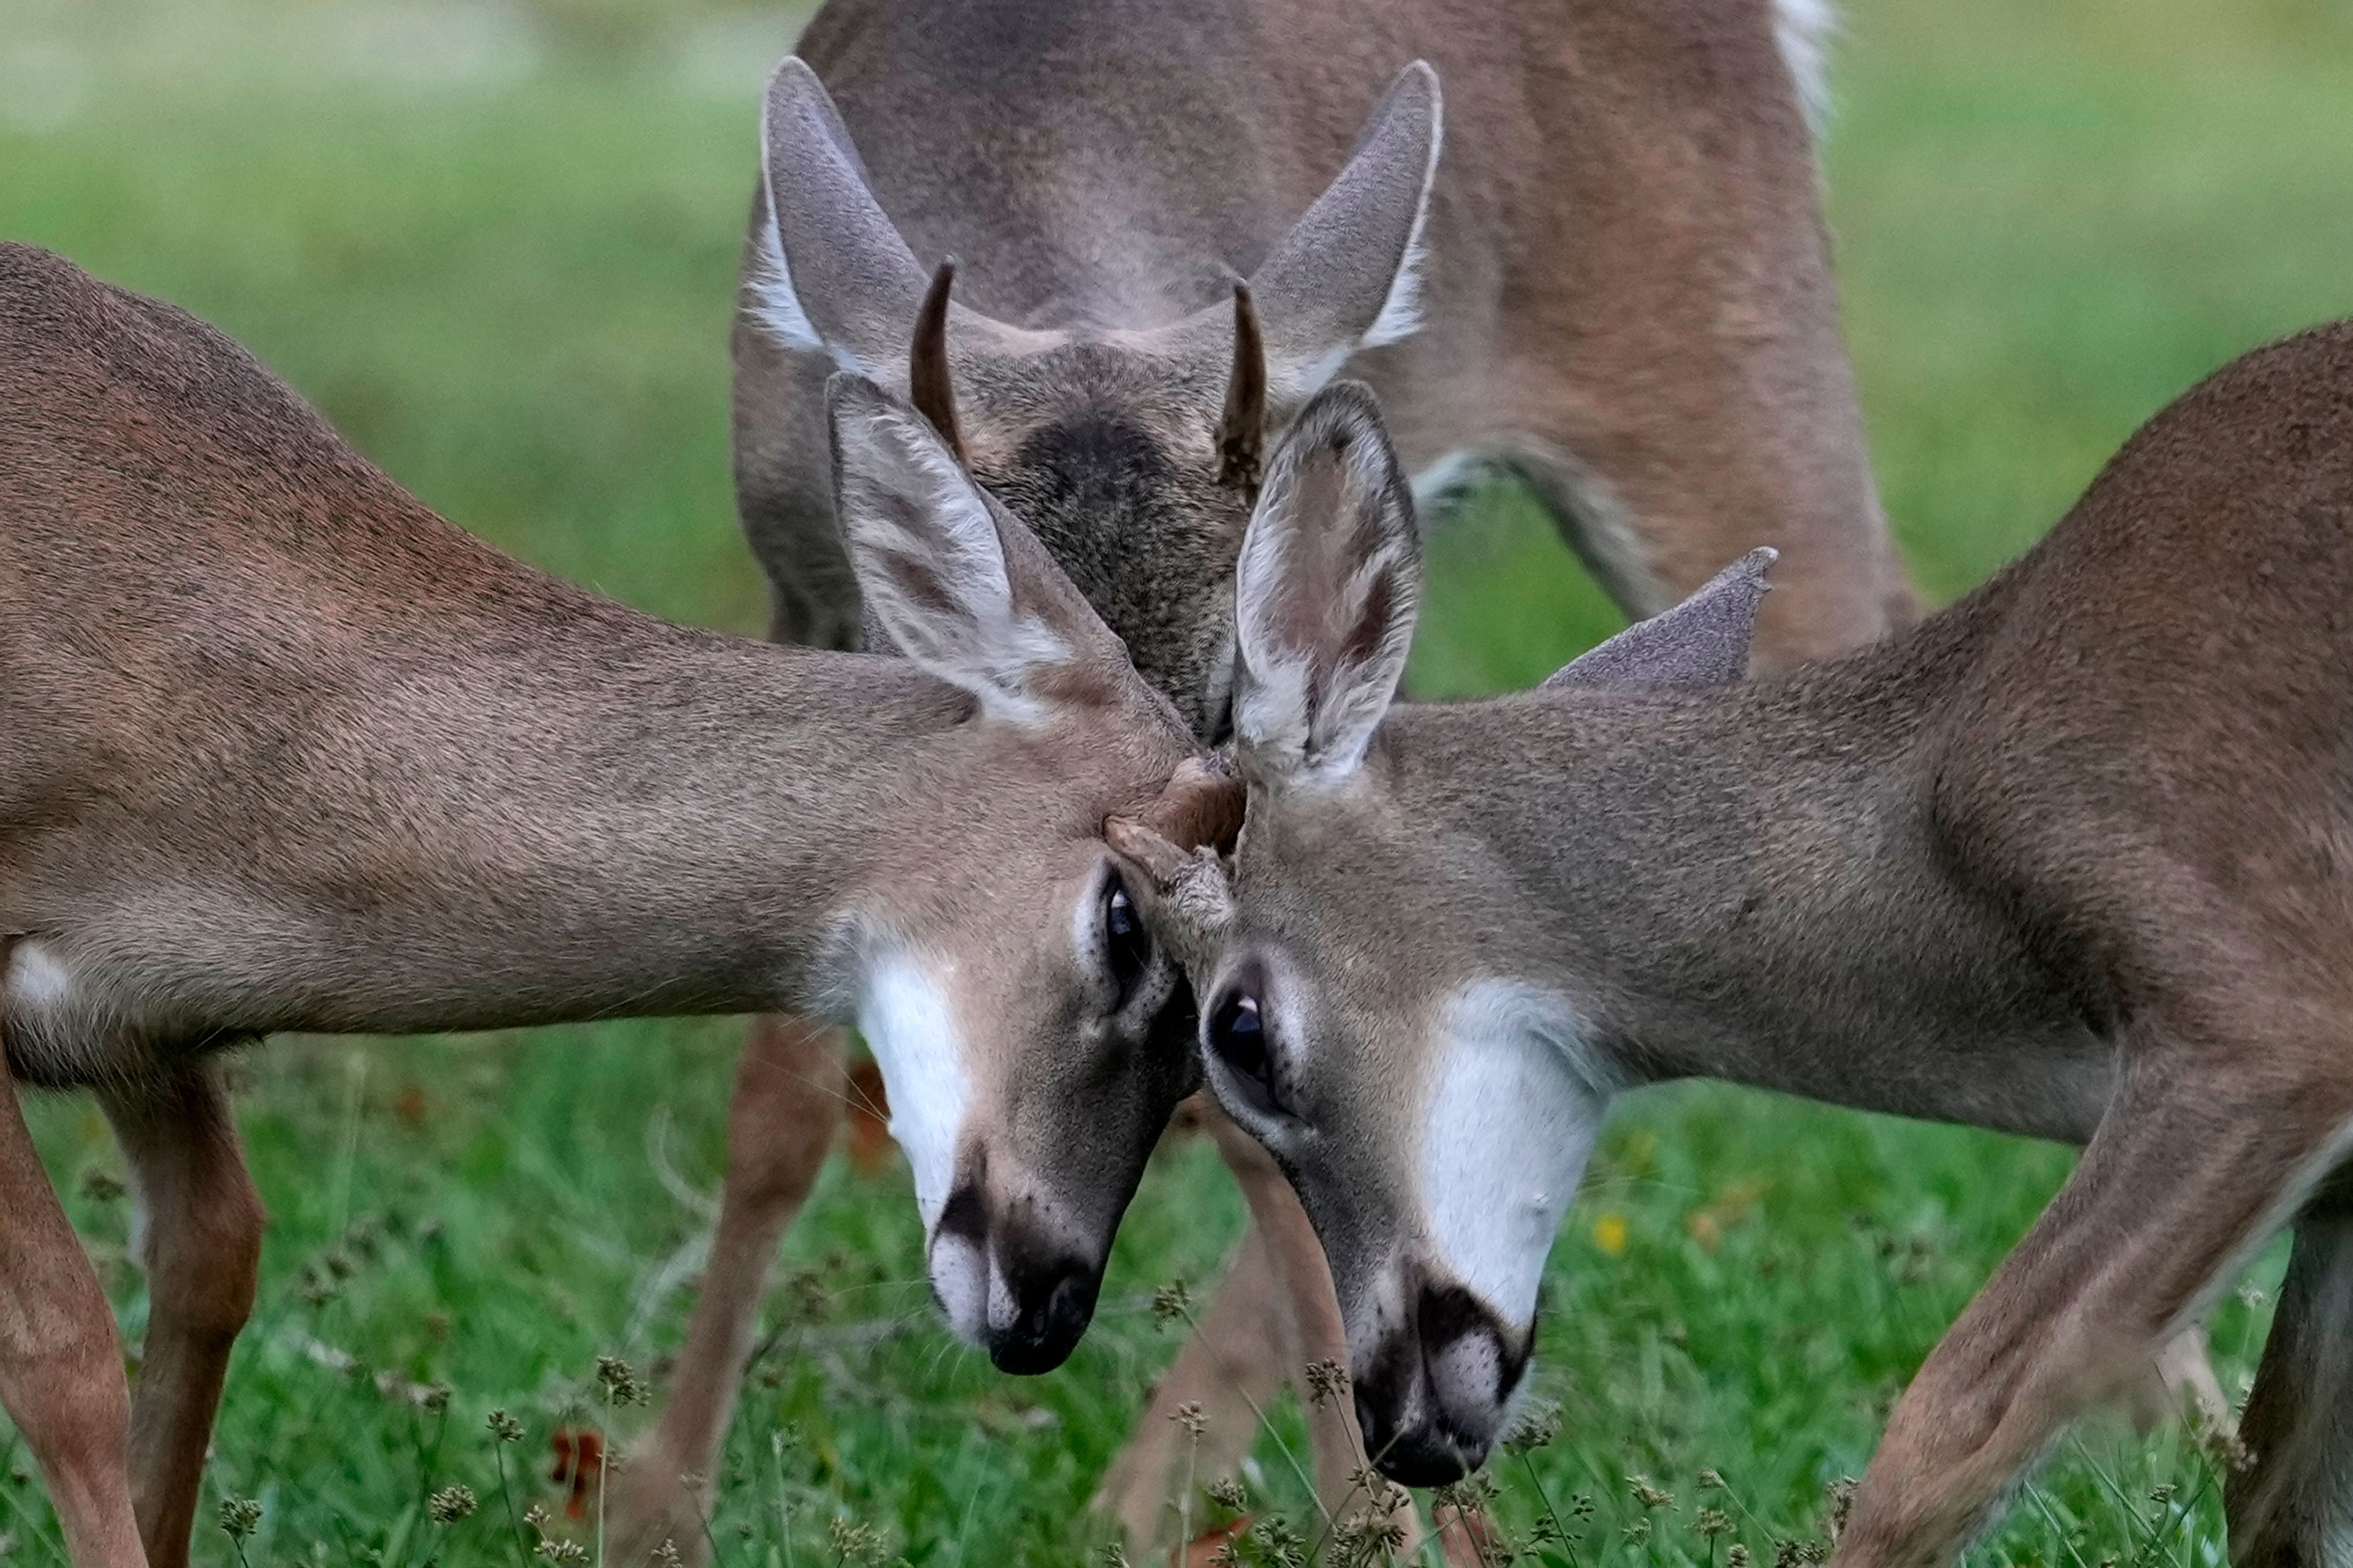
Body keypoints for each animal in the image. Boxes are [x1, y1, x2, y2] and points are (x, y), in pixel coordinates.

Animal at [631, 0, 1929, 1535]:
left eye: (1201, 707)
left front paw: (1369, 1517)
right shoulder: (801, 585)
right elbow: (776, 1096)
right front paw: (654, 1508)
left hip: (1729, 365)